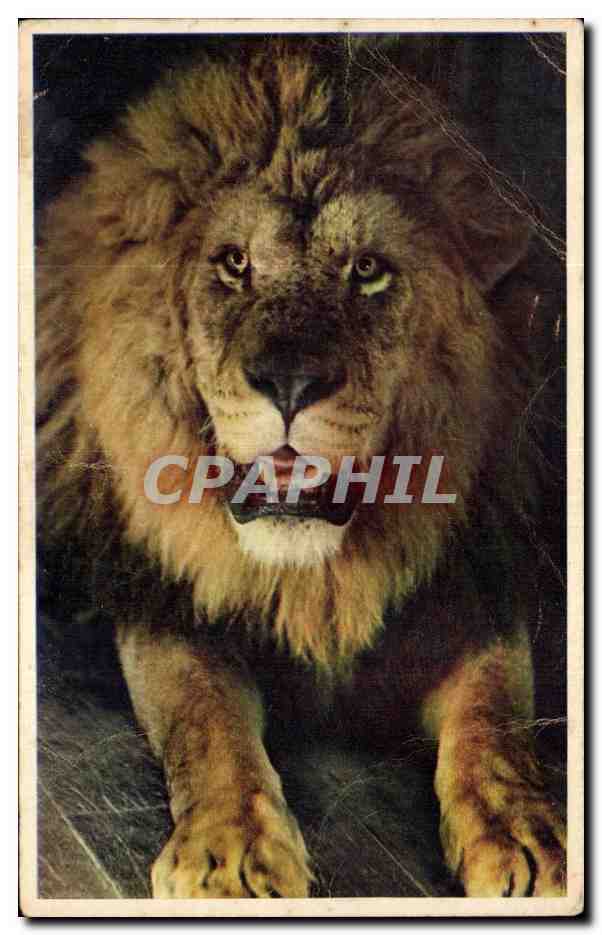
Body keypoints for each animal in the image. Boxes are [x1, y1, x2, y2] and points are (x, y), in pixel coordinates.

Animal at [36, 39, 566, 898]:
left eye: (369, 269)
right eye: (233, 263)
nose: (288, 383)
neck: (317, 576)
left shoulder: (471, 587)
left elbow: (496, 711)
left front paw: (525, 833)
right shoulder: (172, 608)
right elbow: (204, 713)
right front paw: (231, 854)